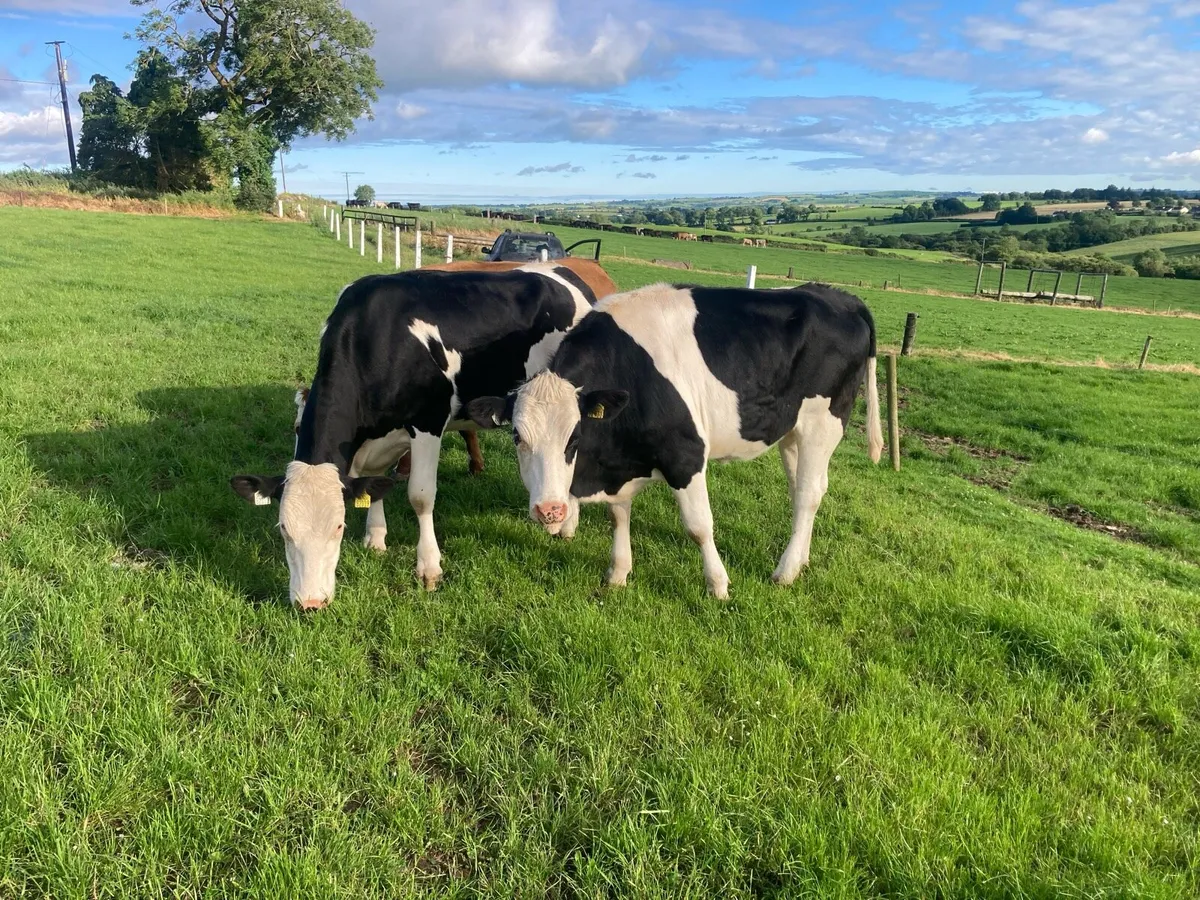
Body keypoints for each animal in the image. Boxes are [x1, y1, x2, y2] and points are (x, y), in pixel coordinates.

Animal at [231, 263, 612, 609]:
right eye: (283, 528)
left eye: (338, 527)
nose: (310, 602)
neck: (375, 339)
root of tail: (566, 272)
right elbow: (375, 482)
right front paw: (376, 538)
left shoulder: (428, 422)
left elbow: (420, 496)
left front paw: (429, 567)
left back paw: (564, 526)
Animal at [467, 282, 882, 598]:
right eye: (517, 436)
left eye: (575, 436)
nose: (550, 511)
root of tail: (840, 296)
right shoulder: (621, 459)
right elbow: (618, 514)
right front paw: (618, 572)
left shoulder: (686, 455)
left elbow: (699, 526)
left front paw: (718, 585)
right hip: (792, 430)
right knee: (802, 490)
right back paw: (802, 558)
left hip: (823, 423)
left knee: (810, 493)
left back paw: (786, 570)